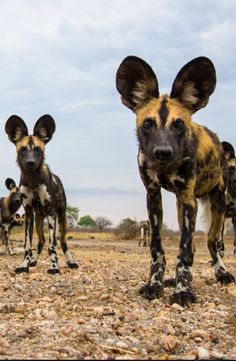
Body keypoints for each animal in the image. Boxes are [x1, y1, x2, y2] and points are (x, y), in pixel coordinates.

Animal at [4, 114, 78, 272]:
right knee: (41, 241)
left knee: (62, 242)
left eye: (38, 149)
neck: (33, 181)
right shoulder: (29, 215)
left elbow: (52, 245)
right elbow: (27, 245)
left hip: (61, 219)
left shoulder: (51, 213)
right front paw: (24, 265)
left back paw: (71, 262)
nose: (30, 162)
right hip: (38, 220)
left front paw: (54, 267)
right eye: (23, 149)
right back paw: (33, 261)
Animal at [116, 54, 236, 306]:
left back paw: (222, 273)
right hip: (182, 209)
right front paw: (156, 284)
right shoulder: (153, 197)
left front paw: (183, 291)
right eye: (148, 124)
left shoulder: (190, 199)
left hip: (217, 205)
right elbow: (157, 249)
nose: (163, 152)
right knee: (194, 243)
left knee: (212, 242)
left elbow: (185, 251)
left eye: (179, 124)